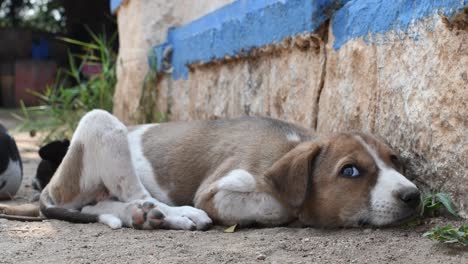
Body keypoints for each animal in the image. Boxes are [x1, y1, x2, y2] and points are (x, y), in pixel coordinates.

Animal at [33, 110, 420, 230]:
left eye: (395, 160)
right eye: (350, 171)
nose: (413, 196)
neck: (290, 145)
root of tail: (48, 188)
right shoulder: (215, 191)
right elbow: (278, 205)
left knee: (101, 202)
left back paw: (140, 215)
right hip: (101, 121)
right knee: (138, 193)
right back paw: (170, 215)